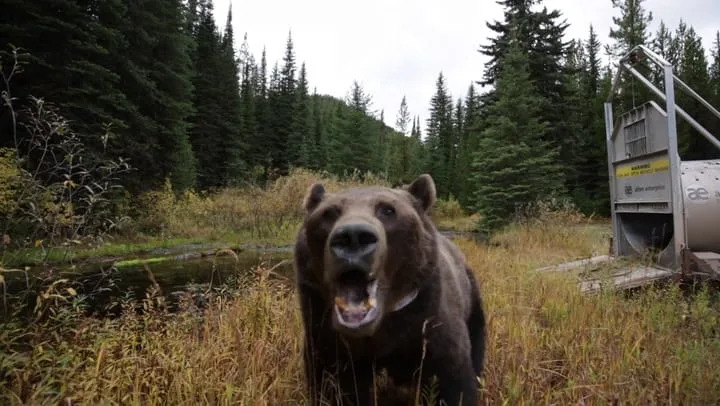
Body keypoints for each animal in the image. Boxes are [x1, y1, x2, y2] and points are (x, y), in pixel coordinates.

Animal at [294, 174, 486, 406]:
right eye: (329, 213)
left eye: (387, 210)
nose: (353, 236)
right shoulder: (326, 339)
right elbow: (333, 388)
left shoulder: (430, 330)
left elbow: (455, 385)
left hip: (472, 301)